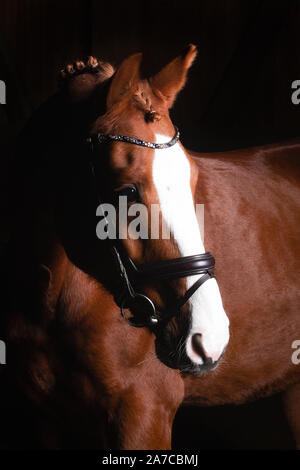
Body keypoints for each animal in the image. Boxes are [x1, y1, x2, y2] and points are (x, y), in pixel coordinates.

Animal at [2, 46, 300, 450]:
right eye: (127, 191)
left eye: (192, 179)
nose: (210, 335)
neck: (48, 300)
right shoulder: (45, 421)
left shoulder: (143, 412)